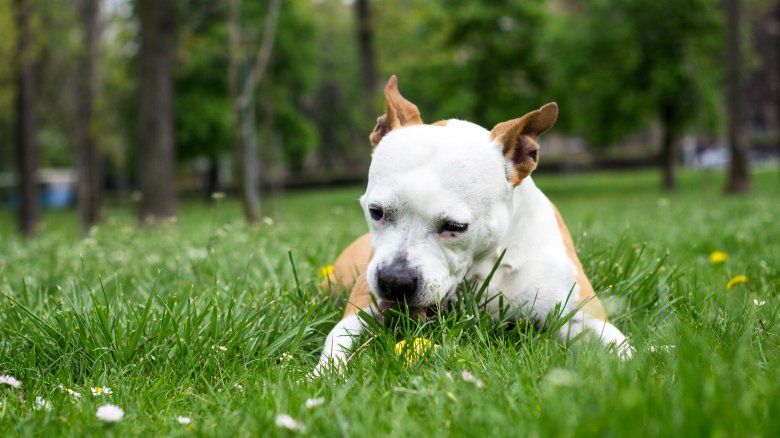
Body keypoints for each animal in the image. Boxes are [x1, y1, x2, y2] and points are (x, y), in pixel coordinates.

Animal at [314, 75, 632, 372]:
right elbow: (335, 344)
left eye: (455, 227)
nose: (394, 281)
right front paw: (320, 377)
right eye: (376, 211)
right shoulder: (359, 311)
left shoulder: (584, 317)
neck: (483, 265)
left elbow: (625, 352)